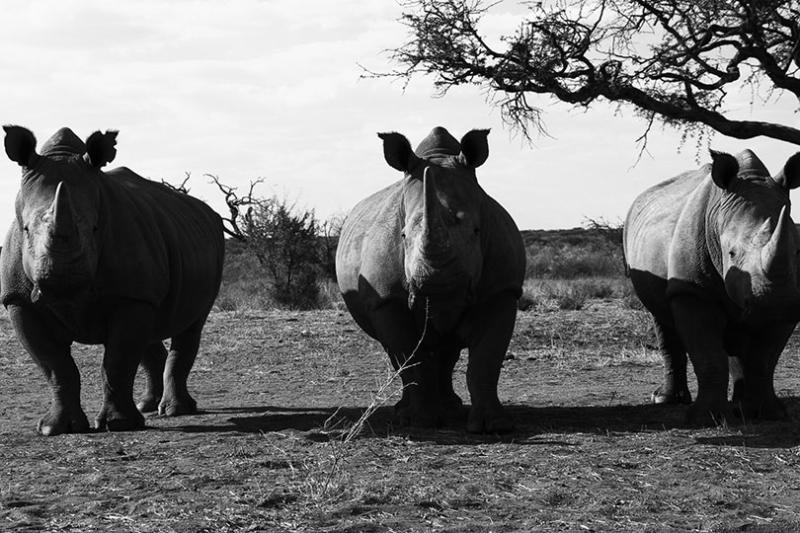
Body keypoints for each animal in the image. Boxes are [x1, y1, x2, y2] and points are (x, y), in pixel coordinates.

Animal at [1, 126, 224, 435]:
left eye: (95, 229)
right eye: (24, 230)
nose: (62, 286)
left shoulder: (130, 295)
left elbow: (117, 361)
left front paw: (119, 425)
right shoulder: (19, 301)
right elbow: (56, 365)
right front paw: (55, 429)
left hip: (206, 246)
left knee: (191, 325)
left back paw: (174, 410)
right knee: (151, 330)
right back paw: (148, 406)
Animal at [336, 127, 525, 433]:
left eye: (476, 231)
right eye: (402, 236)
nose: (440, 290)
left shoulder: (502, 291)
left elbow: (486, 360)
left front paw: (494, 425)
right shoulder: (386, 298)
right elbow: (411, 357)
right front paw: (419, 422)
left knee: (447, 350)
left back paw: (450, 409)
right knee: (400, 352)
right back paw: (408, 411)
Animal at [624, 149, 800, 424]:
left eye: (797, 251)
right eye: (731, 253)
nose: (774, 305)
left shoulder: (790, 301)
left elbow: (765, 360)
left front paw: (771, 414)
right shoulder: (691, 292)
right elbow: (709, 355)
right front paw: (708, 419)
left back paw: (740, 406)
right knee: (661, 317)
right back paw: (665, 400)